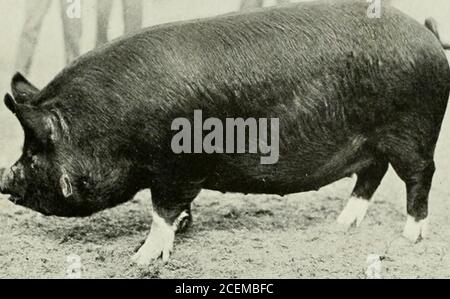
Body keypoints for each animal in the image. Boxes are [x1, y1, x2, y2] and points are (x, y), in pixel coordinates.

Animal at [0, 1, 450, 266]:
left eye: (36, 150)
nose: (4, 179)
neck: (112, 126)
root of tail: (427, 33)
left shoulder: (176, 168)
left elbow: (162, 209)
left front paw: (141, 259)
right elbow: (177, 209)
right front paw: (181, 230)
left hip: (414, 131)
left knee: (420, 175)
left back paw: (410, 237)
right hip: (371, 143)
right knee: (371, 174)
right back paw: (342, 225)